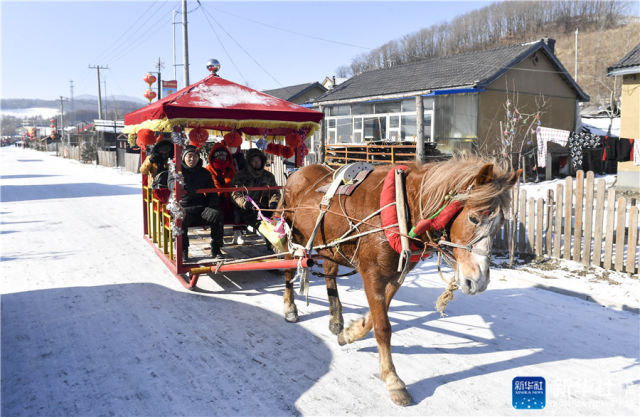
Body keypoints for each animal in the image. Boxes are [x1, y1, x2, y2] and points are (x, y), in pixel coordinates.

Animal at [278, 155, 524, 404]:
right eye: (473, 218)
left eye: (500, 224)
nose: (478, 282)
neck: (399, 208)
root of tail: (296, 174)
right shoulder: (372, 274)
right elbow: (383, 327)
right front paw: (392, 379)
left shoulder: (395, 276)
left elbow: (375, 319)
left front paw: (349, 334)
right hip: (292, 236)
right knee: (288, 270)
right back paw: (290, 307)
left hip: (329, 245)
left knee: (330, 272)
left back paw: (336, 318)